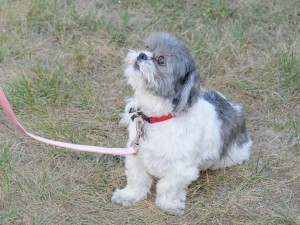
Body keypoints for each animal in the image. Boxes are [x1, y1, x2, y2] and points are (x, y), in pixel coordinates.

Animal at [111, 32, 252, 215]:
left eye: (161, 60)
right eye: (147, 47)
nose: (142, 55)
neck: (157, 117)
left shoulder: (180, 169)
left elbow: (169, 187)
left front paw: (169, 205)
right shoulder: (136, 154)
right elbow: (137, 178)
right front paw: (129, 196)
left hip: (232, 156)